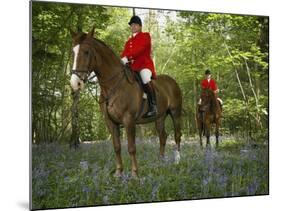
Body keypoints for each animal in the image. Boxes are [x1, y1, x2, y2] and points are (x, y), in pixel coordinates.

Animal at [68, 27, 182, 176]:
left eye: (86, 52)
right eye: (73, 52)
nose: (75, 83)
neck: (113, 85)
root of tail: (172, 81)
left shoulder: (128, 120)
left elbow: (131, 147)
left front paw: (134, 174)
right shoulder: (110, 122)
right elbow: (117, 147)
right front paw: (118, 173)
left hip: (175, 113)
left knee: (177, 135)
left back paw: (177, 161)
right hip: (159, 117)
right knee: (163, 137)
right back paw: (160, 162)